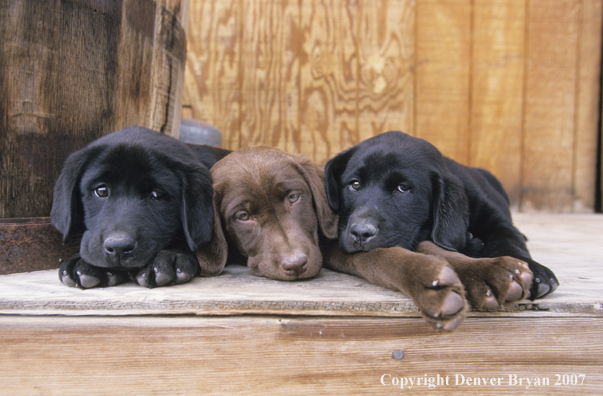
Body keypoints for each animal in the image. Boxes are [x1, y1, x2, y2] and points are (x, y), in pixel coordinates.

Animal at [328, 131, 560, 300]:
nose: (360, 233)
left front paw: (534, 272)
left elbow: (509, 241)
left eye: (403, 188)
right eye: (354, 184)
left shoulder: (496, 219)